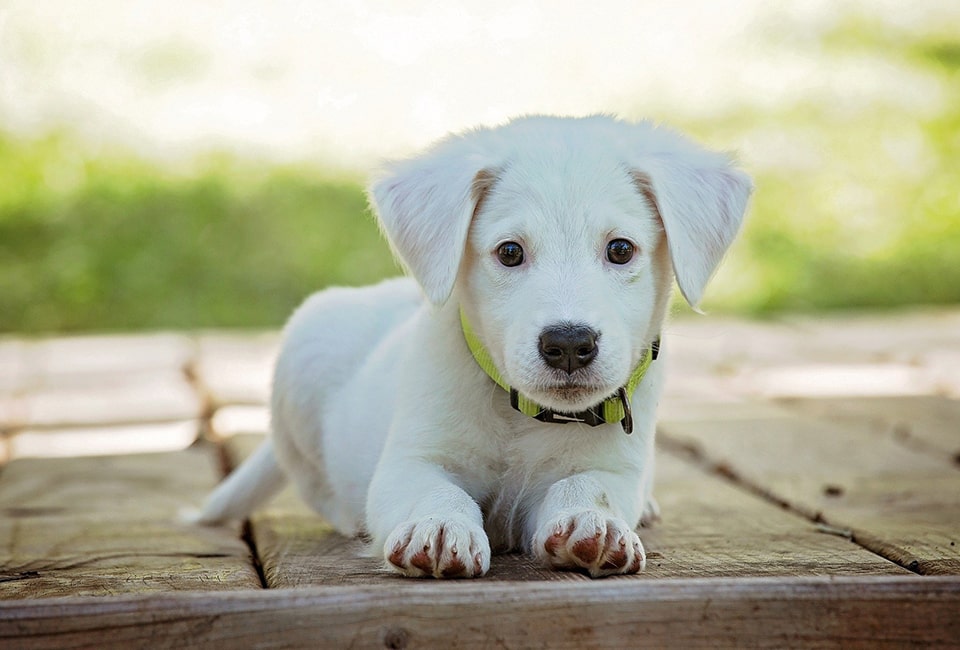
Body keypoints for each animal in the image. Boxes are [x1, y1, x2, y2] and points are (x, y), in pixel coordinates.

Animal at [195, 114, 752, 576]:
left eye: (620, 249)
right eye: (509, 252)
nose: (569, 344)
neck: (522, 415)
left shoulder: (613, 467)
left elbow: (587, 486)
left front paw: (592, 524)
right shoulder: (411, 461)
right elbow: (436, 491)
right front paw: (440, 527)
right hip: (304, 356)